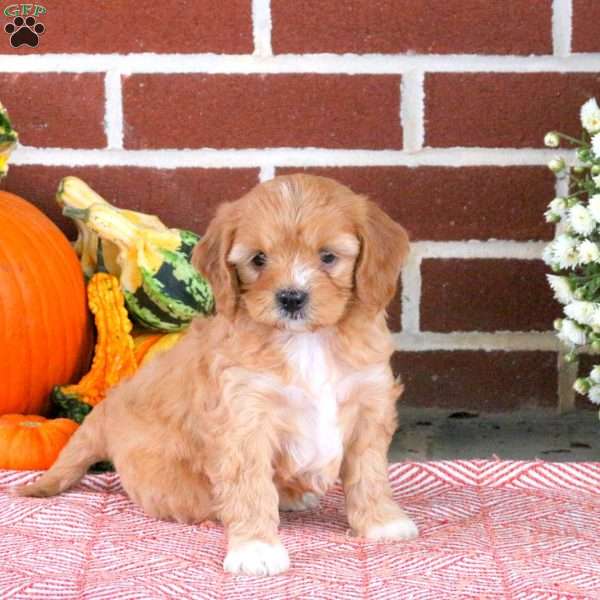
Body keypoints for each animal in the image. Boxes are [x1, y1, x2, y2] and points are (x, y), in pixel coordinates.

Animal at [15, 173, 418, 576]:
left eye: (328, 257)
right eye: (259, 259)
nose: (291, 298)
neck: (307, 340)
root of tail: (109, 409)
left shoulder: (369, 402)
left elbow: (369, 473)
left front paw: (381, 521)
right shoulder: (245, 417)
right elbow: (250, 486)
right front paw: (256, 547)